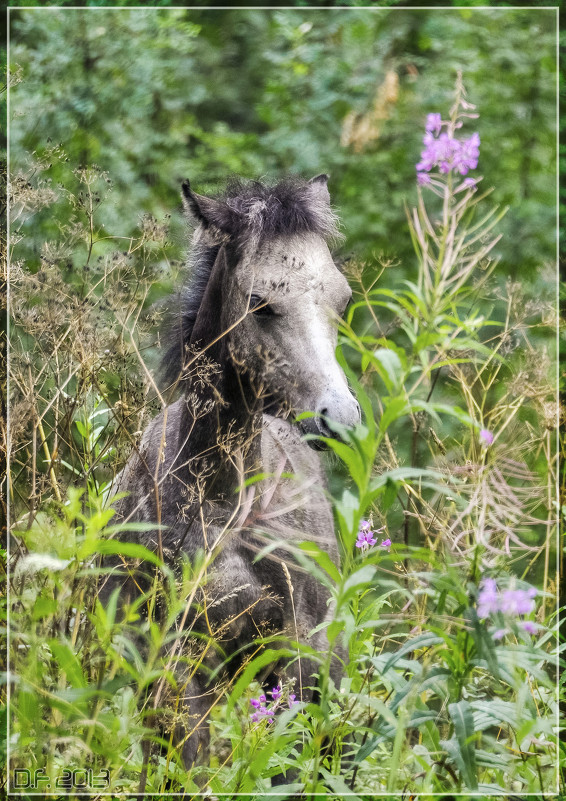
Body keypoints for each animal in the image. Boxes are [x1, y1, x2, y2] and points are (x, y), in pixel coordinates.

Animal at [105, 173, 362, 776]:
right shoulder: (177, 667)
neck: (223, 499)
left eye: (342, 300)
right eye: (261, 304)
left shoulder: (298, 658)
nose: (339, 418)